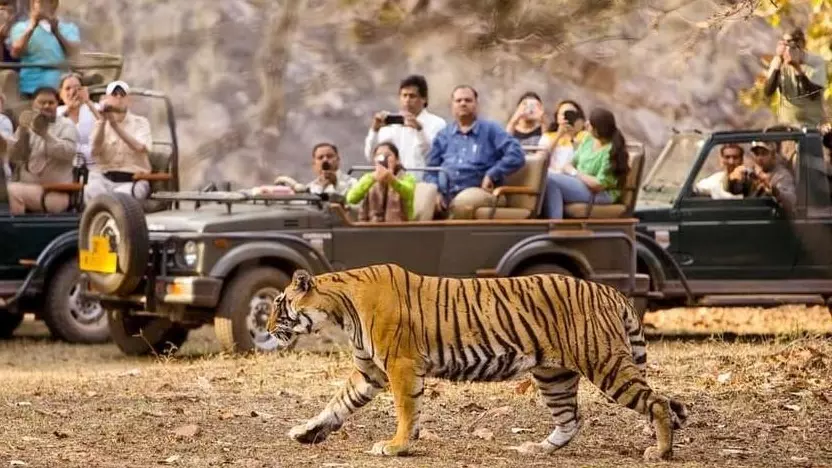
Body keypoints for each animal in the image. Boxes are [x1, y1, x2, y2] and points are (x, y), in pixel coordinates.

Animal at [266, 263, 688, 461]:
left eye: (279, 304)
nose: (268, 328)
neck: (339, 308)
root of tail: (610, 291)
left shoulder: (400, 365)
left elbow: (406, 410)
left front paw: (396, 446)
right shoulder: (369, 371)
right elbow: (336, 404)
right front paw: (305, 432)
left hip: (604, 363)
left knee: (657, 402)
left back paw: (661, 452)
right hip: (555, 374)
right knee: (571, 419)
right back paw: (537, 449)